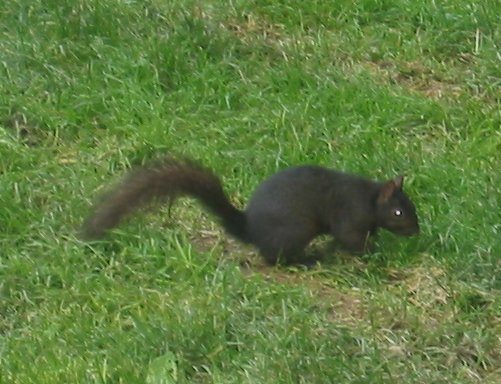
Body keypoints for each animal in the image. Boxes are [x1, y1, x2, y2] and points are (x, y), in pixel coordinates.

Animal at [82, 158, 418, 266]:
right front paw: (372, 252)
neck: (370, 199)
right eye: (399, 213)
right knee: (274, 258)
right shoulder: (349, 214)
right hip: (294, 232)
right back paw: (307, 260)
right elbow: (350, 238)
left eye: (412, 207)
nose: (417, 231)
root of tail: (249, 230)